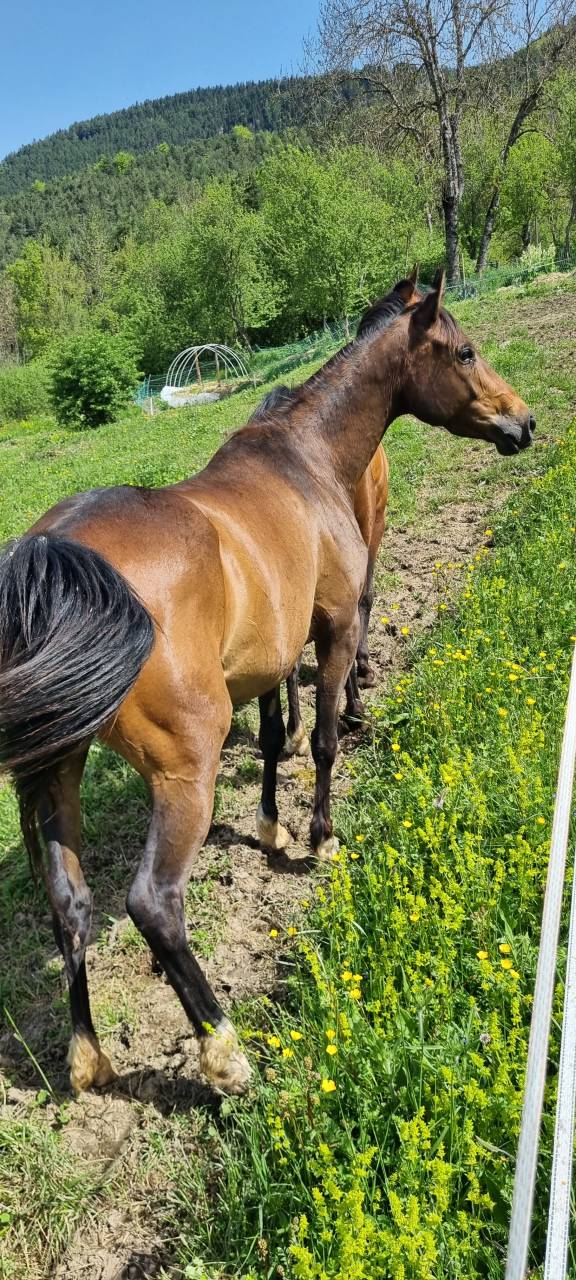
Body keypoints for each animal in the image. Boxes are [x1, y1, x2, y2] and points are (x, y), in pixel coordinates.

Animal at [0, 270, 534, 1098]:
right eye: (465, 351)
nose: (524, 422)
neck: (305, 461)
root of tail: (56, 559)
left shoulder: (269, 659)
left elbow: (278, 740)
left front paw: (271, 825)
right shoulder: (335, 631)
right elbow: (320, 742)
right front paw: (319, 835)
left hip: (59, 772)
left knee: (71, 904)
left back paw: (89, 1057)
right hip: (184, 772)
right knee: (155, 905)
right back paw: (224, 1050)